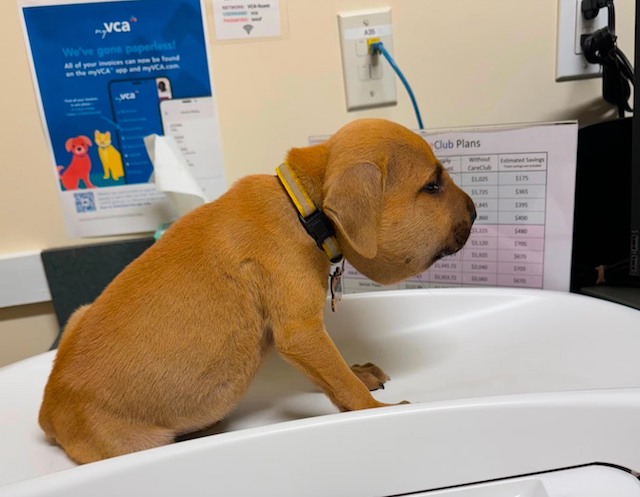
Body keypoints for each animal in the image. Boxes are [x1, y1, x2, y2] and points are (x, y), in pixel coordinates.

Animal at [38, 118, 476, 464]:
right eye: (432, 186)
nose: (475, 211)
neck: (303, 210)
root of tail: (49, 411)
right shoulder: (301, 332)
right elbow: (340, 381)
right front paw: (375, 408)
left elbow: (332, 373)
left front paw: (359, 373)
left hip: (78, 313)